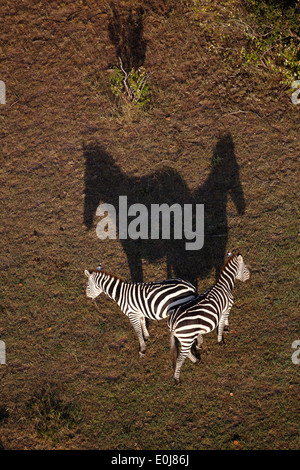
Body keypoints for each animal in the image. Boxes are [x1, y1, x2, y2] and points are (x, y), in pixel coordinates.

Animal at [168, 252, 250, 384]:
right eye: (245, 266)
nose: (249, 277)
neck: (225, 286)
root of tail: (173, 322)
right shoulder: (226, 309)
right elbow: (221, 324)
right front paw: (221, 340)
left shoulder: (224, 310)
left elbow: (223, 322)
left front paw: (226, 329)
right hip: (187, 337)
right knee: (180, 358)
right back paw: (177, 379)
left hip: (184, 338)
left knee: (186, 353)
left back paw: (196, 360)